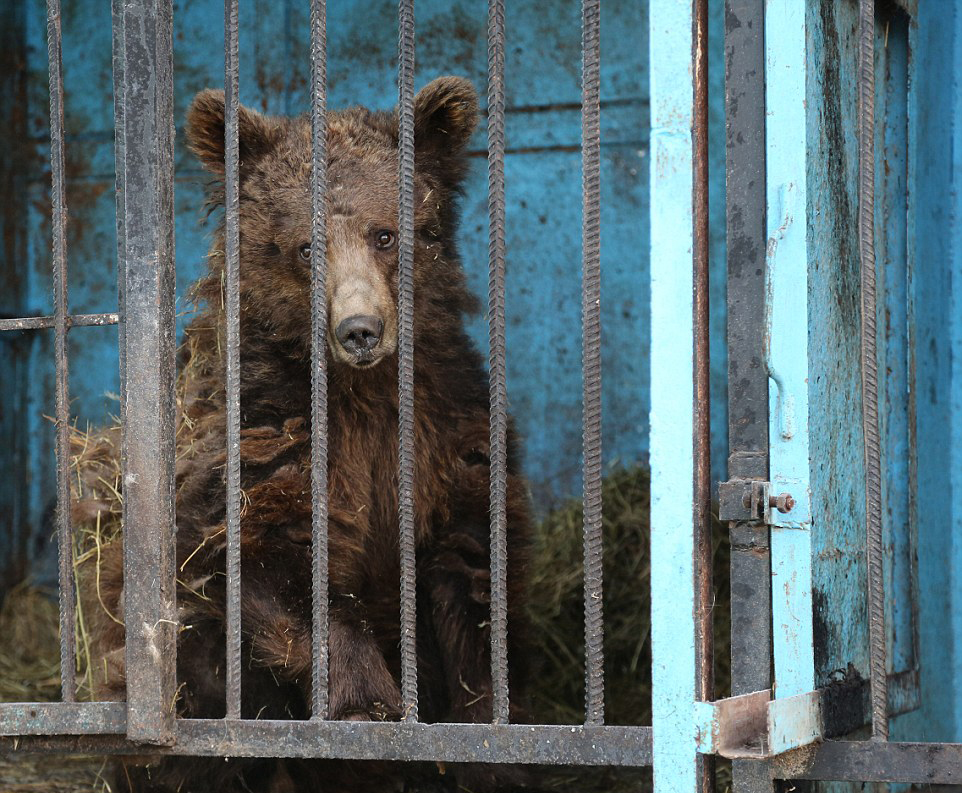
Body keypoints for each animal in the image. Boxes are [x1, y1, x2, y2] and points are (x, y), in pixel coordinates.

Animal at [85, 76, 532, 792]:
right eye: (303, 246)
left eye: (386, 234)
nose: (359, 330)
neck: (361, 392)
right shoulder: (264, 429)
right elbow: (269, 556)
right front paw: (368, 705)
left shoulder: (450, 433)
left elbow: (473, 578)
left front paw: (489, 736)